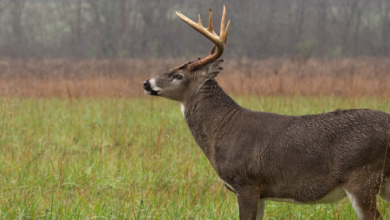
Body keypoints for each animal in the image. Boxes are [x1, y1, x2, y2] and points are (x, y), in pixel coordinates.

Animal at [142, 6, 390, 219]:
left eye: (178, 76)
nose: (146, 83)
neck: (221, 129)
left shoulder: (247, 182)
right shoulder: (261, 192)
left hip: (363, 177)